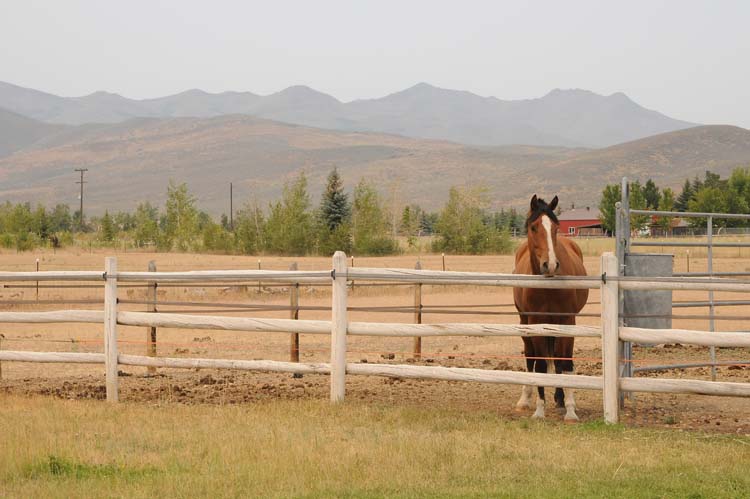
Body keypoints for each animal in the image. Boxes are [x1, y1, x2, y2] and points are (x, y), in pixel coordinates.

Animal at [516, 195, 592, 422]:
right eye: (533, 227)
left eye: (556, 228)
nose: (549, 265)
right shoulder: (536, 323)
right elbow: (540, 365)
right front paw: (539, 410)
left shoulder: (567, 321)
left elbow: (564, 363)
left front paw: (570, 410)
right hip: (524, 322)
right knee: (530, 357)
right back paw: (525, 399)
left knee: (559, 360)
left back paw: (560, 399)